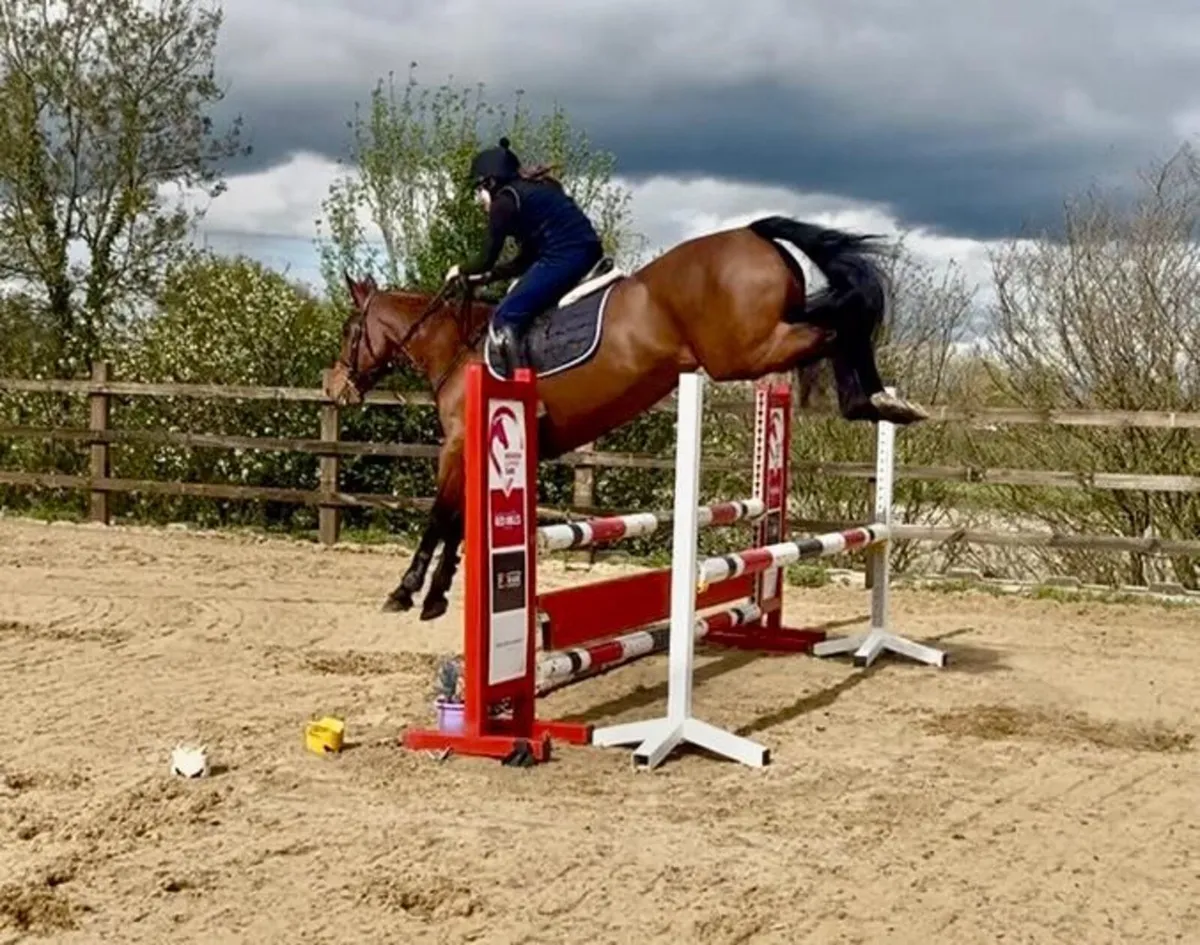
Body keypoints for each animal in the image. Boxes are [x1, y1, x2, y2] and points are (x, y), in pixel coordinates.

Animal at [324, 215, 928, 620]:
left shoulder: (457, 444)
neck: (459, 347)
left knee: (836, 324)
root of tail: (752, 233)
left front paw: (407, 591)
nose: (336, 387)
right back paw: (883, 403)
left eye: (350, 329)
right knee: (834, 321)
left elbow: (440, 517)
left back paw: (869, 401)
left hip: (742, 352)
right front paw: (438, 595)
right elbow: (461, 523)